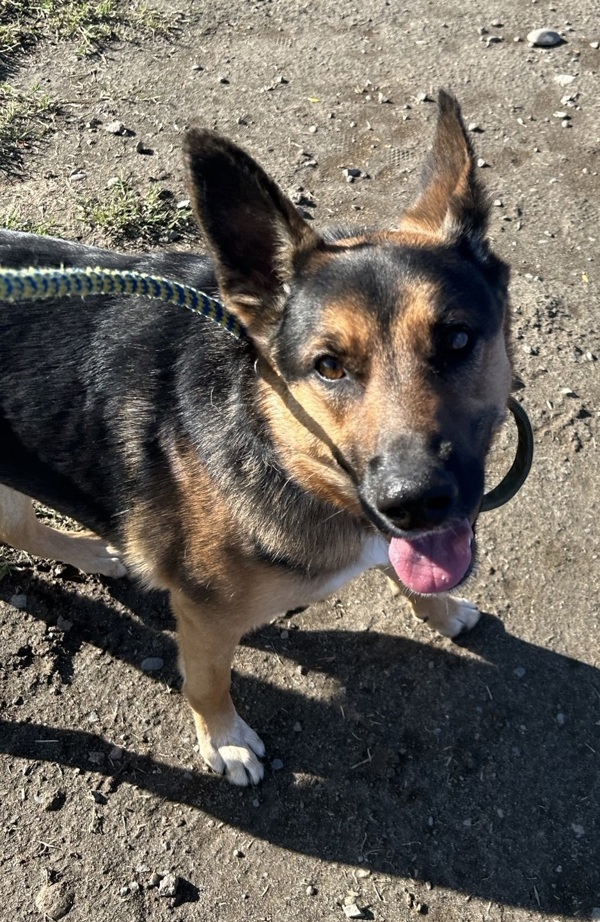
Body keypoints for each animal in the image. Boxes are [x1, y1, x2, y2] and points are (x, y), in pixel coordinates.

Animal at [0, 91, 512, 784]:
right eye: (329, 366)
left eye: (456, 339)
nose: (414, 502)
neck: (277, 445)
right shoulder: (205, 619)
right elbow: (207, 683)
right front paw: (223, 740)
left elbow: (411, 574)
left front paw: (442, 610)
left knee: (18, 527)